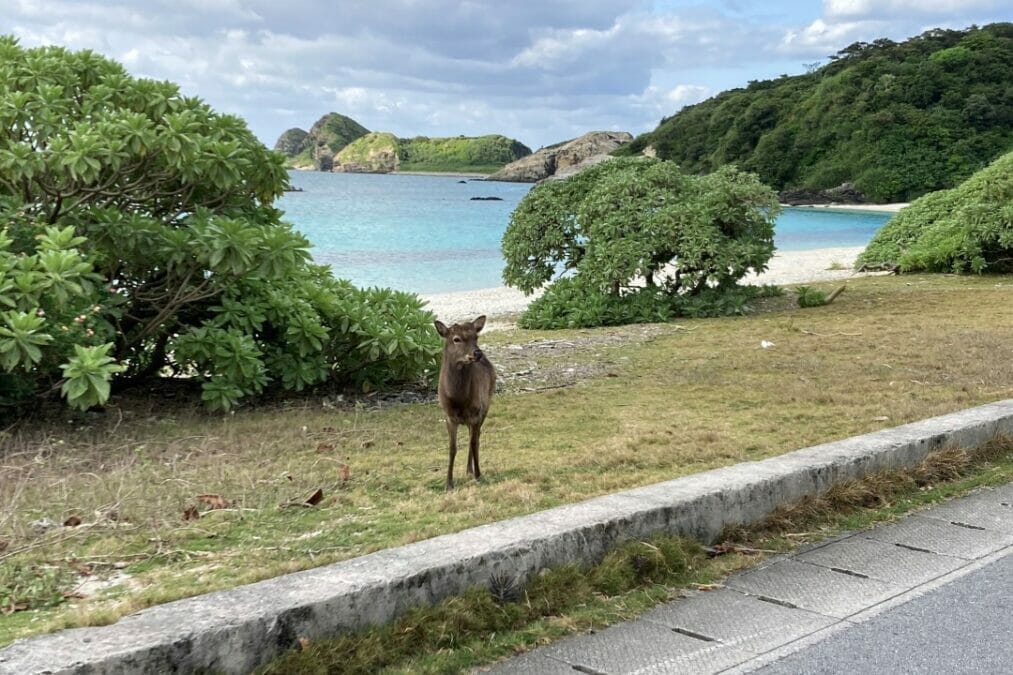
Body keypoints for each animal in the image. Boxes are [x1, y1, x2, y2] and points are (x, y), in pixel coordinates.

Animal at [433, 312, 496, 486]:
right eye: (456, 339)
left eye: (476, 337)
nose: (477, 353)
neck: (458, 399)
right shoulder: (448, 417)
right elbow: (452, 448)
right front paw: (448, 482)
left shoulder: (476, 413)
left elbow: (474, 443)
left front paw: (479, 475)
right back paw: (468, 469)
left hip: (487, 404)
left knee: (476, 437)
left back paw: (471, 470)